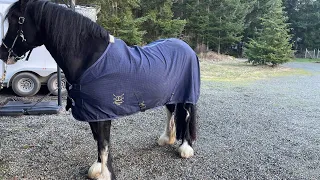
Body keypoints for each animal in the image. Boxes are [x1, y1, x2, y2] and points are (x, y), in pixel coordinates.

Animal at [0, 0, 200, 179]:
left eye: (15, 19)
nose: (3, 53)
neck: (90, 60)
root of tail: (185, 46)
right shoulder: (93, 112)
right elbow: (97, 140)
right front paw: (97, 168)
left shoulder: (102, 113)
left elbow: (103, 144)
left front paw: (105, 174)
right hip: (170, 94)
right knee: (171, 112)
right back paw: (167, 138)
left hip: (186, 94)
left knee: (186, 115)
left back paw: (185, 148)